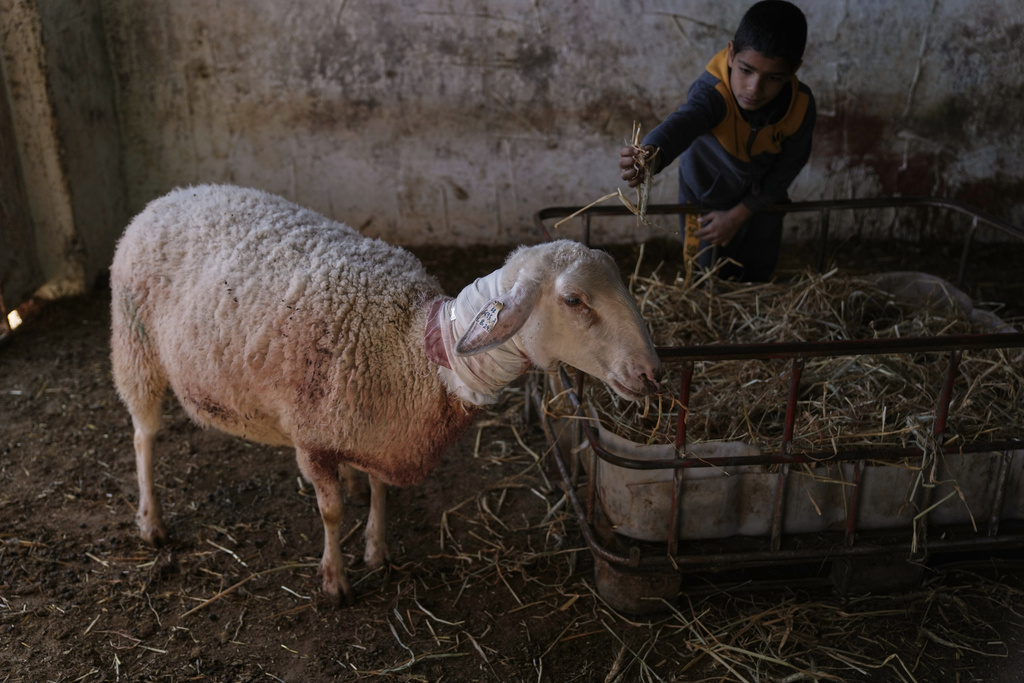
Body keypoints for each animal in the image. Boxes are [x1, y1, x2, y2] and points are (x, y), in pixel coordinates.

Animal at [109, 184, 662, 605]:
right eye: (574, 300)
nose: (651, 373)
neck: (413, 349)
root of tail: (172, 196)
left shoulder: (382, 429)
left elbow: (381, 491)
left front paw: (377, 548)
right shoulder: (312, 439)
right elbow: (330, 513)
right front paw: (336, 579)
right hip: (135, 347)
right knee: (143, 436)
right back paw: (151, 521)